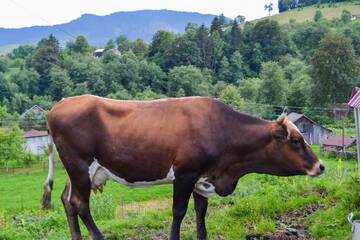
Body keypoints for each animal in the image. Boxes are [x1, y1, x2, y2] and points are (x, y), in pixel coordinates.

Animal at [40, 94, 324, 239]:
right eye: (296, 140)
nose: (321, 166)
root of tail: (59, 105)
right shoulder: (185, 174)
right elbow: (178, 212)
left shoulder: (203, 178)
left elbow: (200, 212)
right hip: (80, 165)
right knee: (80, 204)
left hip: (78, 170)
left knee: (67, 200)